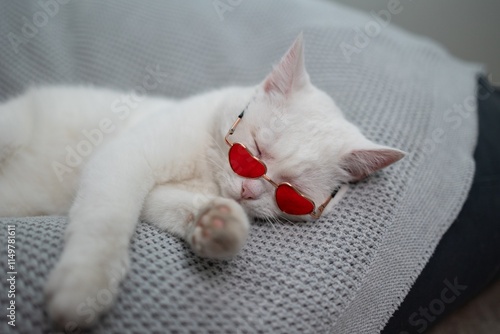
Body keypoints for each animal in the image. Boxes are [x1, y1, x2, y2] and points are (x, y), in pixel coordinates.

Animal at [0, 34, 402, 328]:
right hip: (14, 127)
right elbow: (106, 222)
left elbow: (177, 208)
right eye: (254, 152)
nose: (248, 190)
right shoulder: (125, 158)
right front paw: (85, 287)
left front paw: (217, 225)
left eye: (290, 193)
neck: (206, 173)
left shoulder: (156, 194)